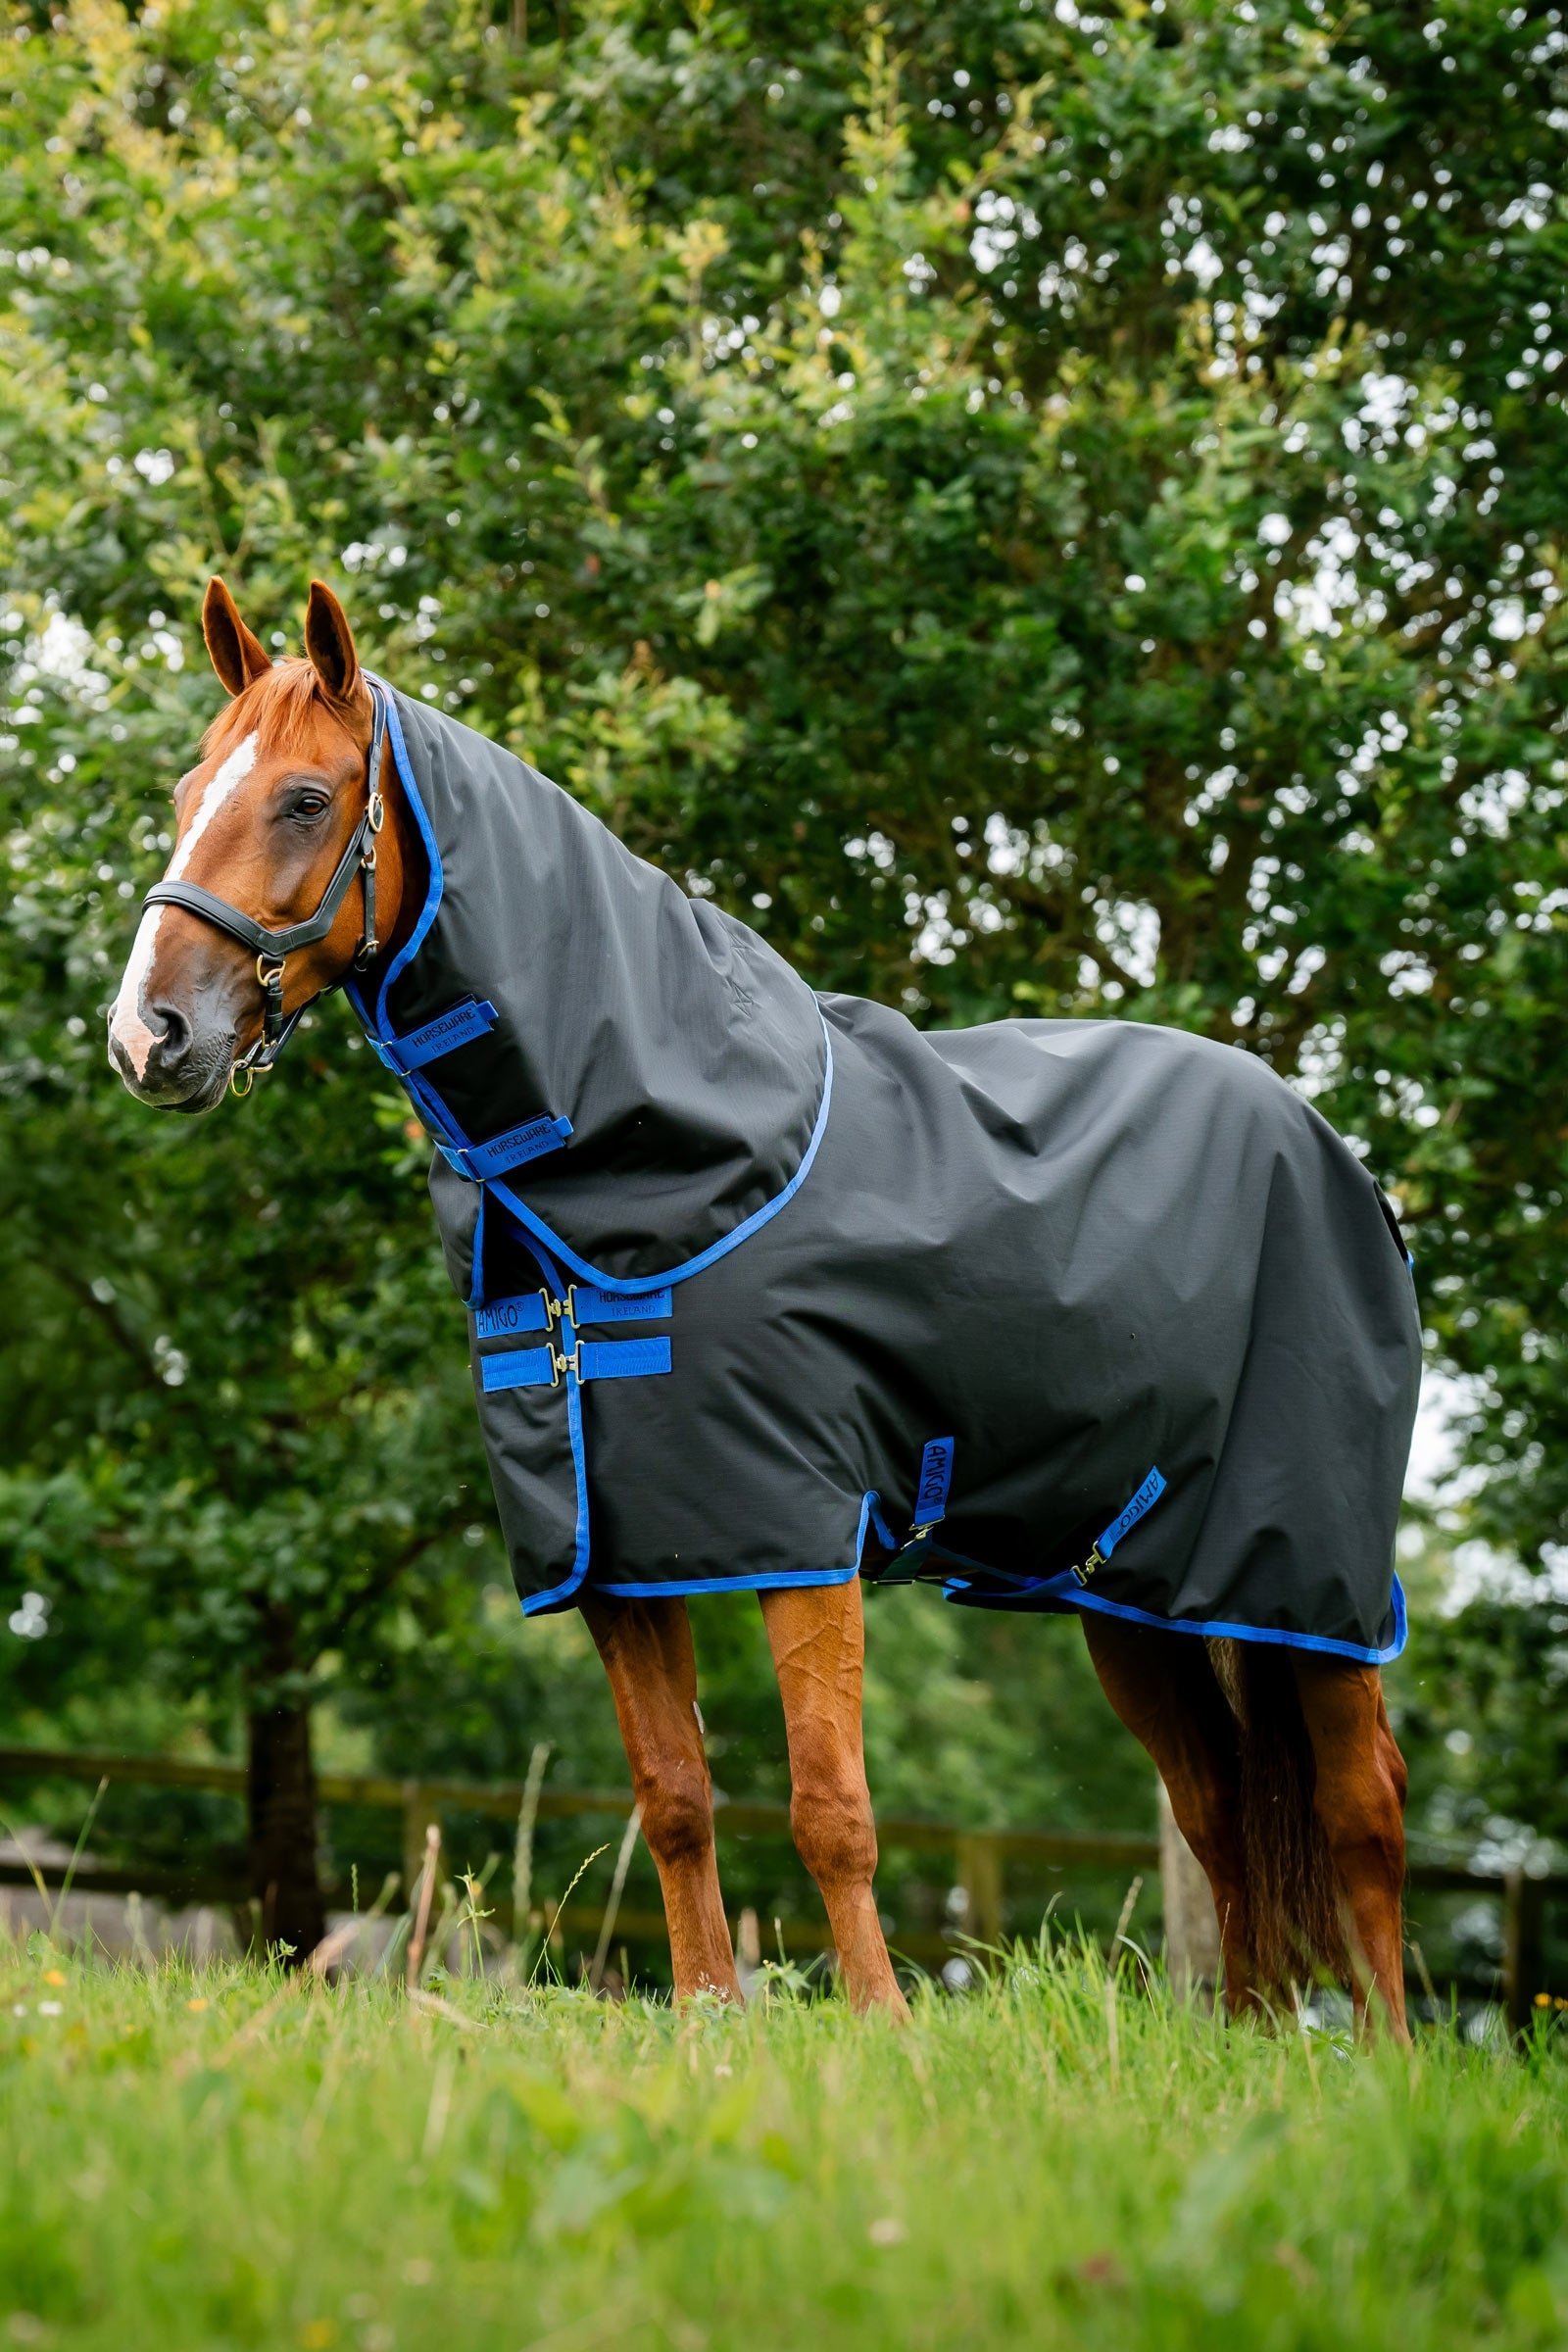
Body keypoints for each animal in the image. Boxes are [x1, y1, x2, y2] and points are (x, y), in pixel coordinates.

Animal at [107, 576, 1416, 2035]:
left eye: (303, 800)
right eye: (187, 792)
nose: (148, 1035)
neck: (666, 1145)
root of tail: (1330, 1149)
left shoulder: (799, 1529)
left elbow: (831, 1806)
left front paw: (880, 2027)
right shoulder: (617, 1549)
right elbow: (675, 1799)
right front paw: (710, 2020)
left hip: (1307, 1574)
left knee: (1360, 1808)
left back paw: (1389, 2053)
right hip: (1142, 1593)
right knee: (1218, 1804)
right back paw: (1252, 2033)